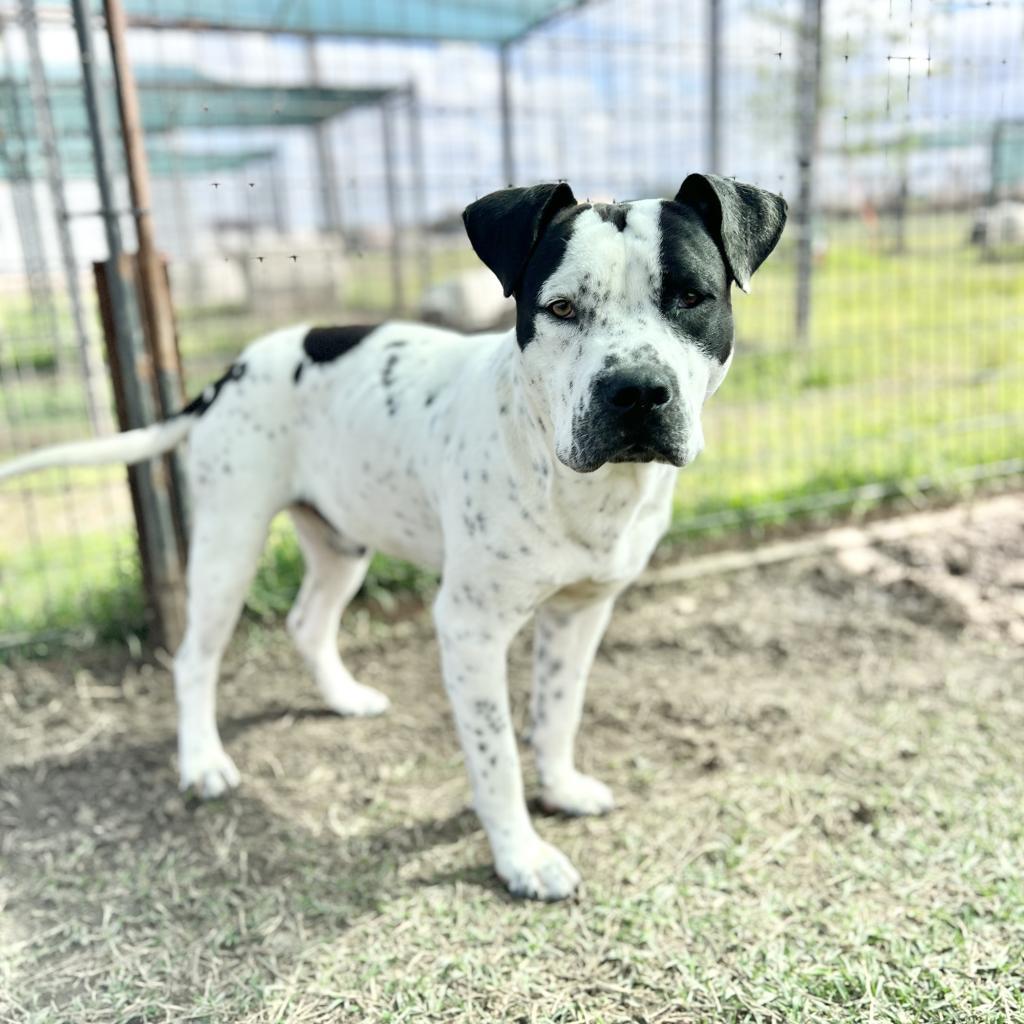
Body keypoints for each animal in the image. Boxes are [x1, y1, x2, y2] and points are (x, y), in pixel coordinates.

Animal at [0, 180, 786, 901]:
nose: (637, 391)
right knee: (194, 657)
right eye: (561, 307)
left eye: (691, 297)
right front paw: (521, 858)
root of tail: (231, 370)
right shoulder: (470, 631)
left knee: (307, 621)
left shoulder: (580, 614)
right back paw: (202, 764)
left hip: (343, 540)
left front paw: (560, 789)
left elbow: (557, 713)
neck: (578, 481)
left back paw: (343, 699)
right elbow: (498, 757)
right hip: (229, 543)